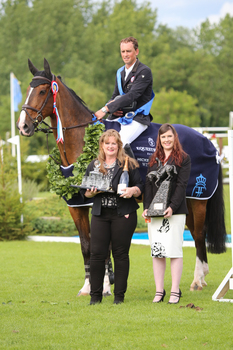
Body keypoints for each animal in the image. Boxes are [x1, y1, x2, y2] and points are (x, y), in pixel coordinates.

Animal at [17, 58, 227, 292]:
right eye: (28, 90)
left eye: (43, 91)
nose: (23, 126)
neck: (82, 140)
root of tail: (209, 143)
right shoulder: (76, 206)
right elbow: (86, 245)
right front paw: (88, 286)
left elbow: (103, 245)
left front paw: (105, 285)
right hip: (185, 200)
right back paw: (201, 276)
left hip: (198, 198)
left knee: (198, 235)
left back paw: (198, 280)